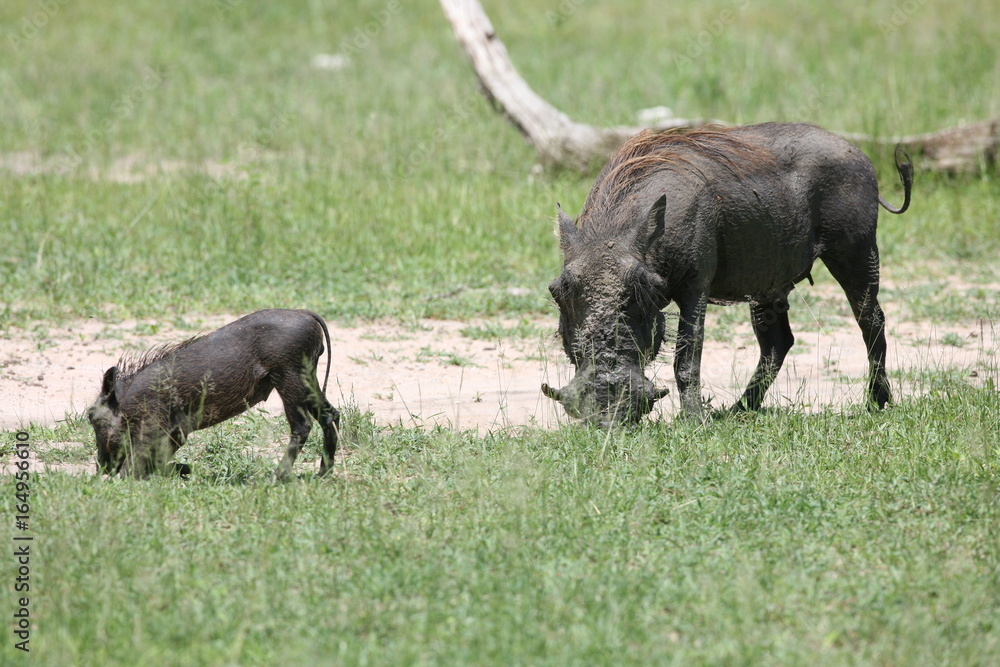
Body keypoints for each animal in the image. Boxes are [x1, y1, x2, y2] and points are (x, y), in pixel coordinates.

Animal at [86, 309, 340, 479]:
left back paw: (277, 476)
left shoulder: (150, 426)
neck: (124, 401)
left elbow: (134, 464)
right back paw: (323, 473)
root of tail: (305, 314)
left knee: (302, 425)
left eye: (91, 416)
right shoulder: (176, 433)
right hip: (306, 379)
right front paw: (184, 470)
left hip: (289, 378)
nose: (102, 469)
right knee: (330, 415)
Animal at [543, 123, 912, 426]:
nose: (606, 414)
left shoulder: (696, 285)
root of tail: (858, 153)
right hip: (767, 282)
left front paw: (694, 422)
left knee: (871, 320)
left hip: (856, 251)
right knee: (778, 343)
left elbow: (687, 357)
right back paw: (739, 410)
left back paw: (877, 403)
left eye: (644, 288)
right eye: (558, 290)